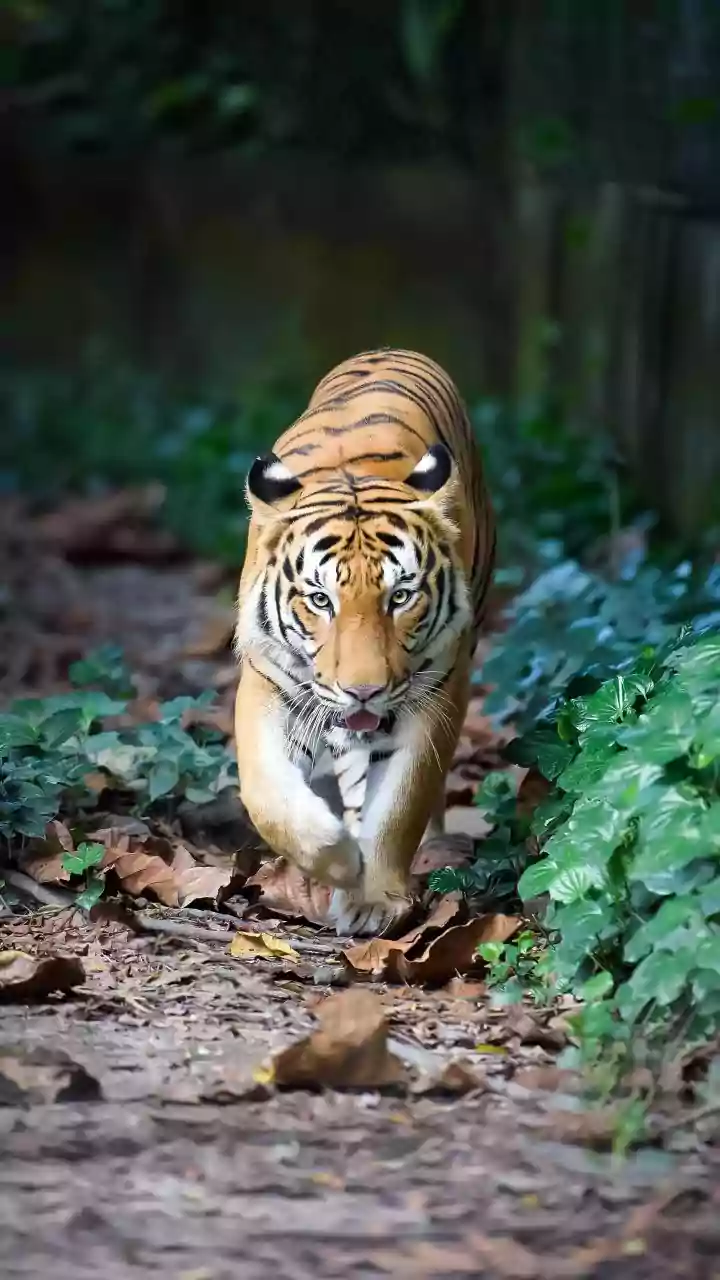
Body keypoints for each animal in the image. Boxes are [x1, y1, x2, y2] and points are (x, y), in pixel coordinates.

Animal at [234, 347, 495, 935]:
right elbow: (266, 794)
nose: (363, 691)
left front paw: (374, 896)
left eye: (400, 597)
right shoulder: (267, 680)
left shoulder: (438, 691)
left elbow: (402, 801)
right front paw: (336, 858)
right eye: (320, 600)